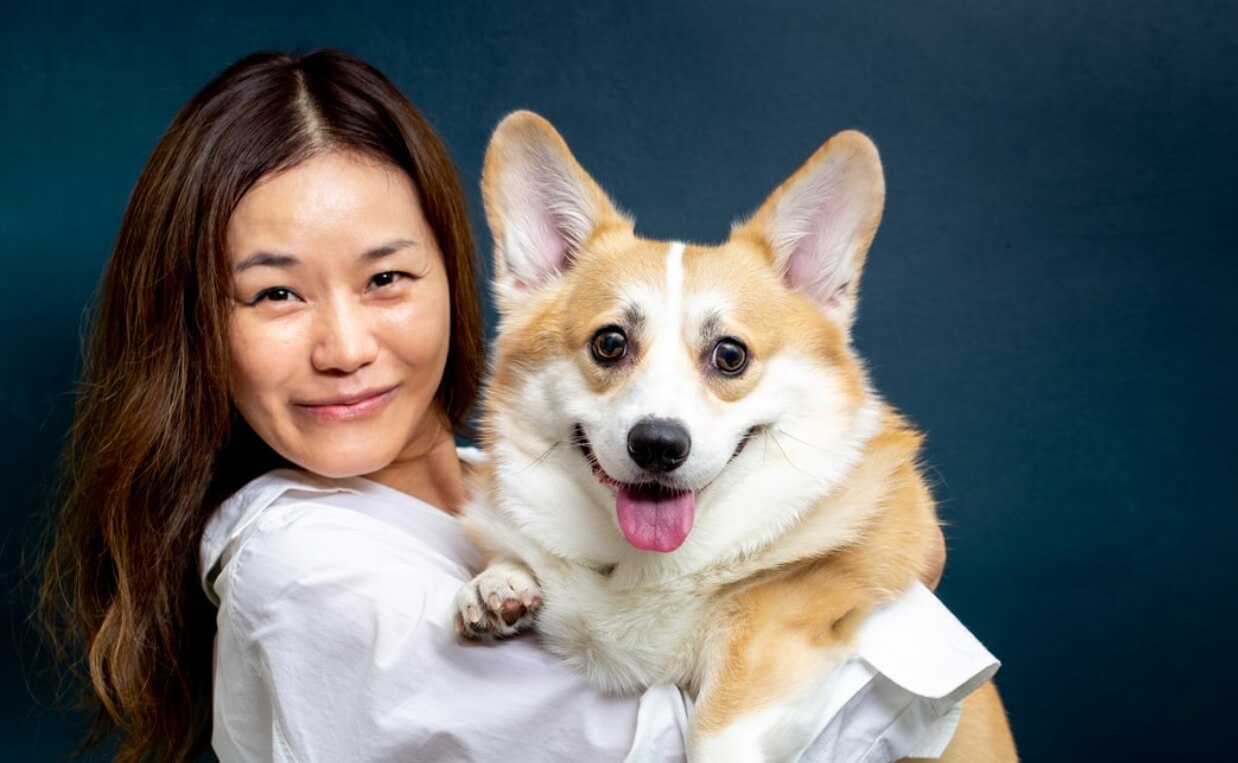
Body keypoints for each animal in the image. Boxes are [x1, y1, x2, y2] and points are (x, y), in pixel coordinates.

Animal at [455, 113, 1015, 763]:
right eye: (610, 343)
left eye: (730, 355)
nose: (659, 445)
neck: (648, 567)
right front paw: (498, 584)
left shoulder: (786, 619)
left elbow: (716, 728)